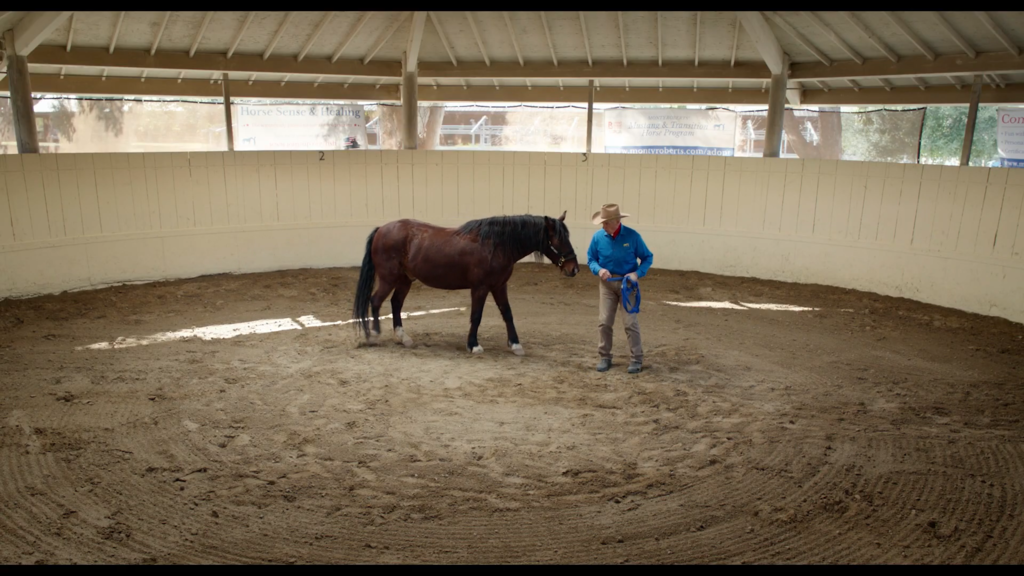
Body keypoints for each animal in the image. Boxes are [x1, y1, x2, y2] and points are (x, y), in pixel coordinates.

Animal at [352, 211, 580, 355]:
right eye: (558, 239)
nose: (574, 269)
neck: (495, 245)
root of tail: (382, 229)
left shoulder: (499, 286)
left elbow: (507, 314)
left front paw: (515, 344)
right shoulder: (480, 288)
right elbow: (476, 316)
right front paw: (473, 345)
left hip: (404, 279)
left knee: (396, 304)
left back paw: (403, 337)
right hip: (389, 278)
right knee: (376, 301)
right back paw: (373, 335)